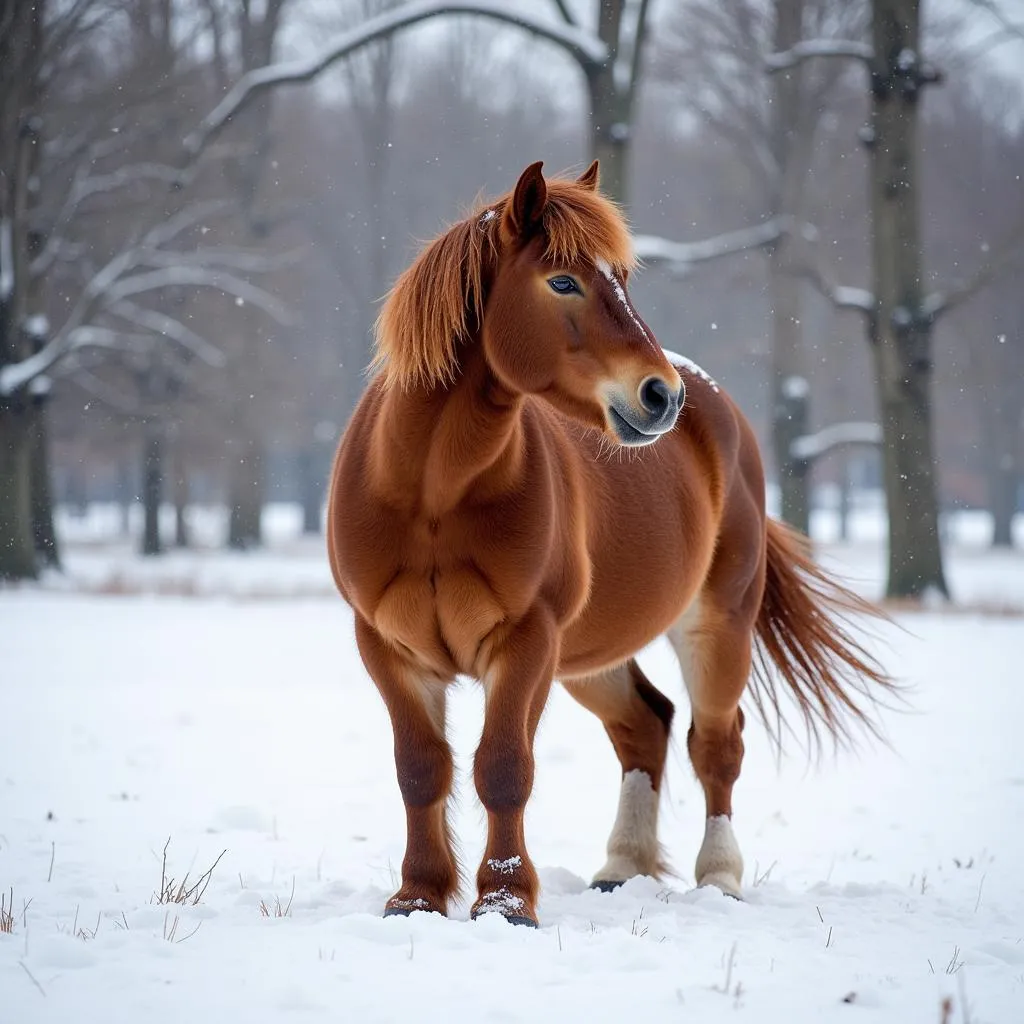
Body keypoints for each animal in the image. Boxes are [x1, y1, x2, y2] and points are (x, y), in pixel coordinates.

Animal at [323, 159, 892, 929]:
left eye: (622, 277)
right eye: (563, 281)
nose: (661, 396)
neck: (433, 495)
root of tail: (720, 409)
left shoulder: (526, 641)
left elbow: (504, 767)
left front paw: (505, 902)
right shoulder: (388, 646)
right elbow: (421, 769)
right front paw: (416, 897)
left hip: (715, 626)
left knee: (716, 745)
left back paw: (719, 876)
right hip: (589, 655)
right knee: (644, 726)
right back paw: (622, 866)